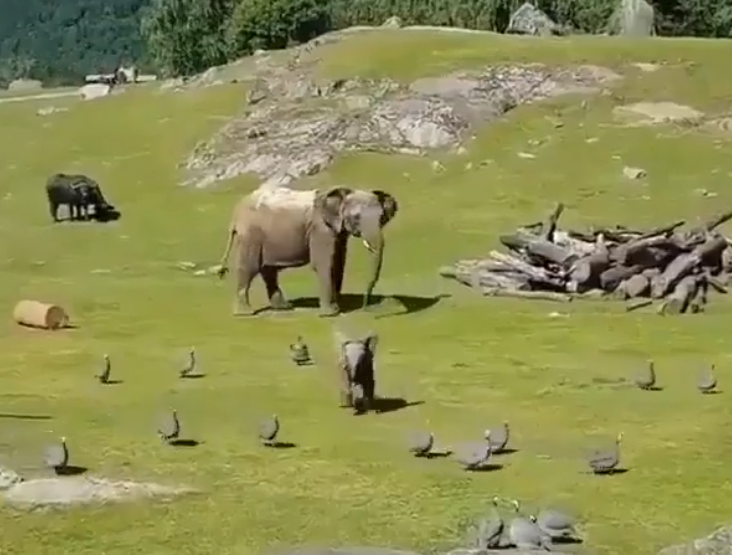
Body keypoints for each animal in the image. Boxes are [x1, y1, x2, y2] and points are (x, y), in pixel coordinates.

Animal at [217, 187, 400, 318]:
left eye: (382, 218)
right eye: (356, 218)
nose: (366, 307)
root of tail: (237, 211)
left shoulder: (337, 231)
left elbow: (338, 263)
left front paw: (337, 307)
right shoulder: (320, 228)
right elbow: (325, 264)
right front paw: (330, 314)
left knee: (268, 271)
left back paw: (284, 308)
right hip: (251, 235)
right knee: (250, 268)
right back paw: (245, 314)